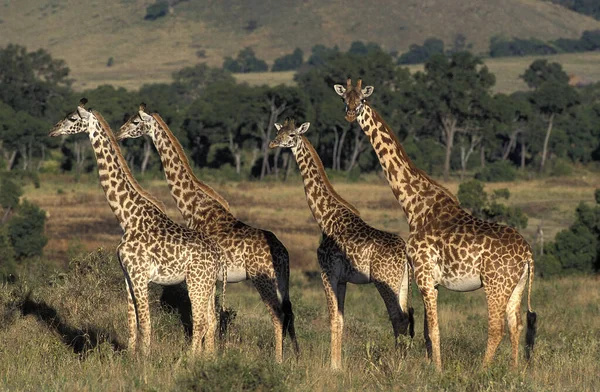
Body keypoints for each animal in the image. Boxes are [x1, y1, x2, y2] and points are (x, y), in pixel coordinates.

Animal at [48, 99, 223, 356]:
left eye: (72, 118)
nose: (53, 130)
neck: (127, 217)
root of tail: (218, 255)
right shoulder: (127, 275)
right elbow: (132, 321)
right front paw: (131, 357)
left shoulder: (140, 275)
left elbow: (146, 323)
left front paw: (145, 359)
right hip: (208, 285)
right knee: (211, 321)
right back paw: (207, 359)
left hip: (196, 282)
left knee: (200, 322)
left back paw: (188, 360)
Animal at [116, 103, 298, 362]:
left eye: (135, 121)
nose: (119, 133)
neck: (192, 205)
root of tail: (284, 253)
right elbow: (209, 320)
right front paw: (207, 356)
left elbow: (204, 319)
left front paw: (200, 357)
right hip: (282, 280)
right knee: (289, 313)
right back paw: (295, 356)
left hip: (262, 278)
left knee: (277, 315)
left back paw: (278, 360)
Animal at [270, 118, 414, 370]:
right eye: (279, 132)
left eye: (291, 135)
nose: (272, 143)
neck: (324, 217)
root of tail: (404, 255)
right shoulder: (343, 279)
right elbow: (341, 318)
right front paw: (338, 363)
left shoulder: (327, 272)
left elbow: (332, 318)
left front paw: (333, 366)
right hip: (404, 283)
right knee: (406, 315)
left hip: (385, 281)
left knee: (399, 318)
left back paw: (398, 364)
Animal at [336, 79, 536, 370]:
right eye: (345, 100)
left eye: (361, 100)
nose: (350, 114)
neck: (414, 206)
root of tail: (528, 254)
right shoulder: (431, 280)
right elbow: (427, 330)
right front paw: (432, 366)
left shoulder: (424, 275)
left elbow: (433, 329)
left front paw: (438, 371)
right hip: (516, 286)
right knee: (516, 325)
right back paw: (514, 370)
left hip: (495, 284)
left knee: (496, 327)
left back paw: (482, 371)